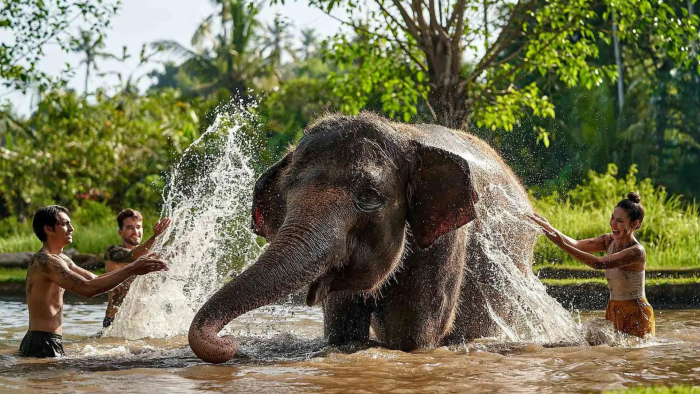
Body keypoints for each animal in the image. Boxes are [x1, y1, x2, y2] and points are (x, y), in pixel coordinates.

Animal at [187, 111, 580, 364]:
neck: (404, 134)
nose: (230, 342)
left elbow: (412, 336)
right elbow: (343, 331)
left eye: (369, 196)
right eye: (287, 191)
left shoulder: (446, 241)